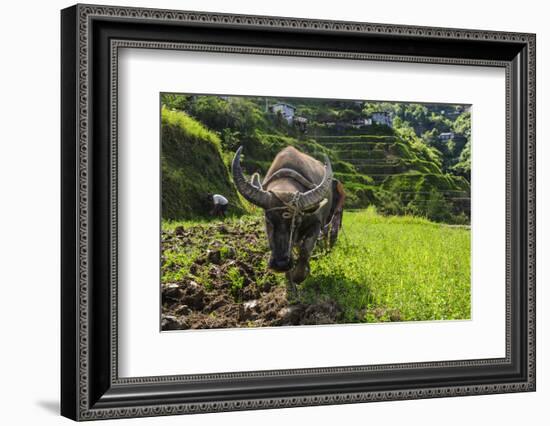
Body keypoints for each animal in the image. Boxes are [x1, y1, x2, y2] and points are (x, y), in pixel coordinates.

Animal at [233, 146, 344, 290]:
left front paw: (299, 275)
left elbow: (305, 251)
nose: (281, 264)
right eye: (268, 220)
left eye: (296, 222)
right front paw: (289, 280)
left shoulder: (316, 224)